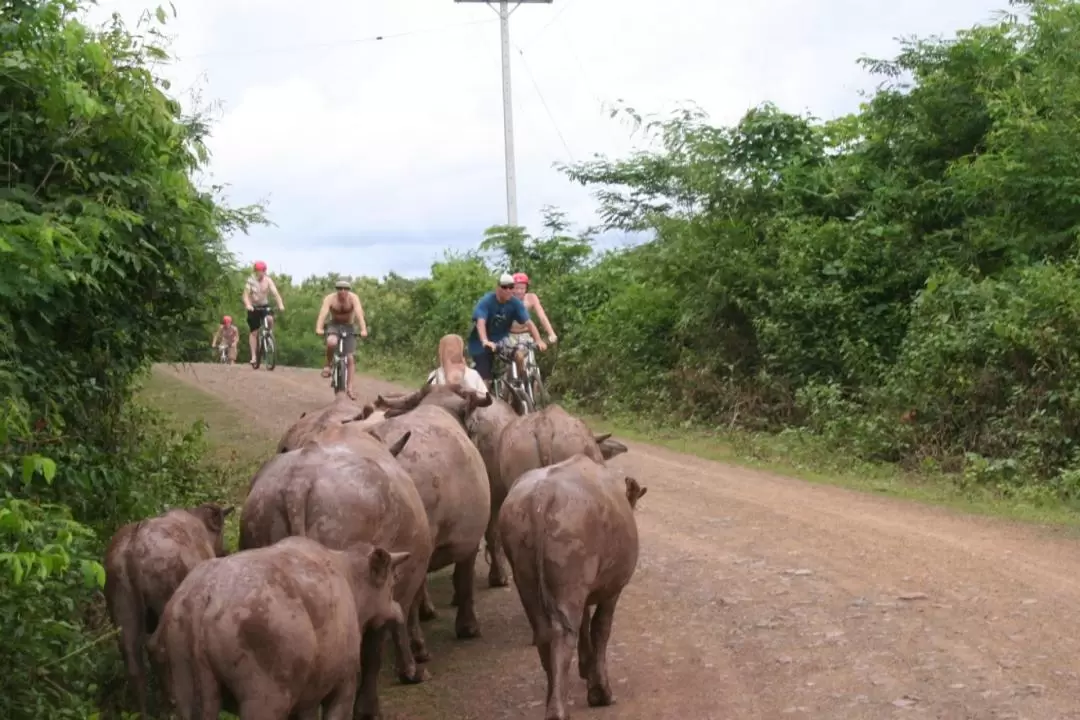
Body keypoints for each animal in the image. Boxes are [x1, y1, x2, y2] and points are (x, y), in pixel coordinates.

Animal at [104, 505, 233, 716]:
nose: (224, 551)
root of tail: (131, 548)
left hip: (122, 606)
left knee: (132, 658)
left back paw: (144, 712)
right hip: (165, 603)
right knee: (156, 648)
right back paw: (170, 700)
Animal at [150, 537, 406, 720]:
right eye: (393, 582)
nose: (398, 609)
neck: (353, 583)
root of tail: (201, 598)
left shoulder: (306, 698)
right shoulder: (343, 683)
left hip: (185, 681)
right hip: (266, 696)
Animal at [498, 455, 648, 720]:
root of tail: (543, 495)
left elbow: (586, 623)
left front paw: (586, 668)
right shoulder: (613, 589)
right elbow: (600, 629)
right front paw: (599, 690)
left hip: (524, 574)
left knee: (545, 633)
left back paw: (553, 700)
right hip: (570, 571)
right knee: (564, 635)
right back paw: (559, 710)